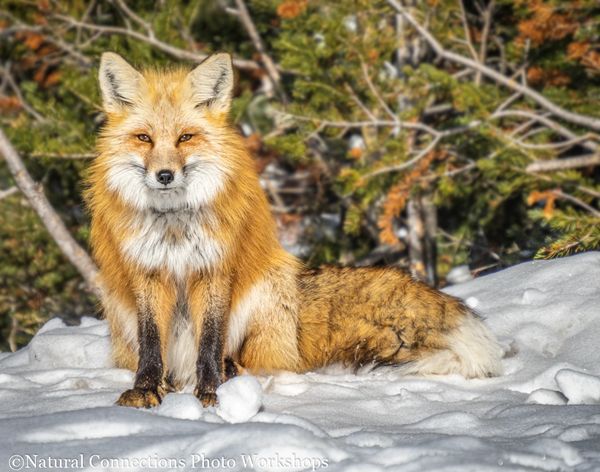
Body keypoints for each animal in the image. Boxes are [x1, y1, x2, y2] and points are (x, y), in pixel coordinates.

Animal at [86, 52, 504, 410]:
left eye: (185, 137)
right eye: (144, 138)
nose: (164, 175)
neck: (173, 227)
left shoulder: (216, 270)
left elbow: (210, 343)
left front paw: (212, 395)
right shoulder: (146, 272)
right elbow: (151, 345)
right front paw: (146, 391)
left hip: (266, 293)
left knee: (264, 363)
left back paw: (234, 375)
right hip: (117, 305)